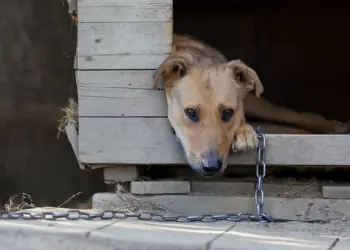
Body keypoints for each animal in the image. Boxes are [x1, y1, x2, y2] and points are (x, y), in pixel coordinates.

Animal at [154, 34, 348, 177]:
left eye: (228, 112)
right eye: (191, 112)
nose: (212, 166)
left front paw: (243, 131)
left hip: (260, 105)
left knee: (299, 117)